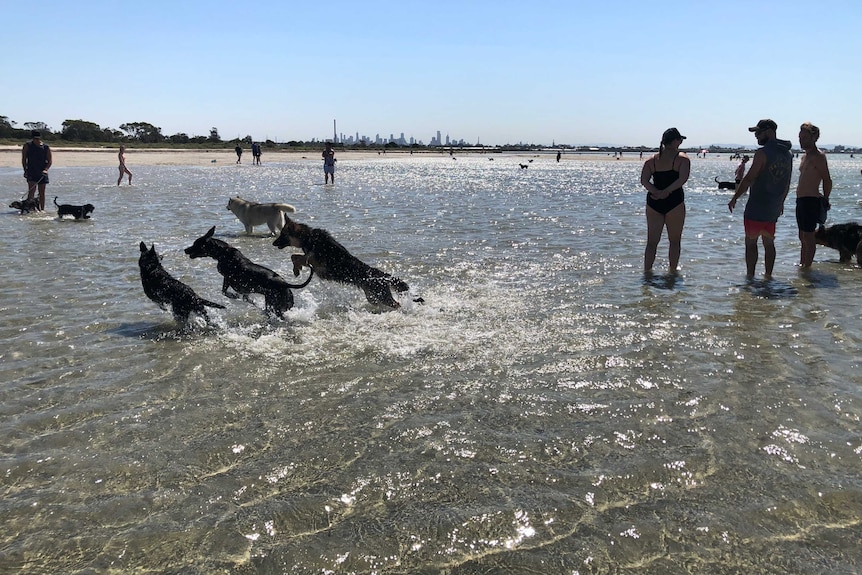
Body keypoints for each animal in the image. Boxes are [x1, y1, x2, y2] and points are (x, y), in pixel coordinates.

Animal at [185, 226, 314, 320]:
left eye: (196, 244)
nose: (185, 249)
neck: (222, 253)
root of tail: (285, 284)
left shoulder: (228, 278)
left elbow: (224, 291)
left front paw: (233, 295)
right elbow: (245, 297)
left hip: (273, 305)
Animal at [272, 216, 416, 308]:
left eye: (282, 235)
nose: (273, 243)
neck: (309, 237)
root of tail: (383, 276)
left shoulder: (315, 262)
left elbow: (295, 256)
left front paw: (296, 269)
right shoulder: (312, 262)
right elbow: (295, 256)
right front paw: (297, 269)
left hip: (383, 297)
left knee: (397, 305)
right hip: (373, 297)